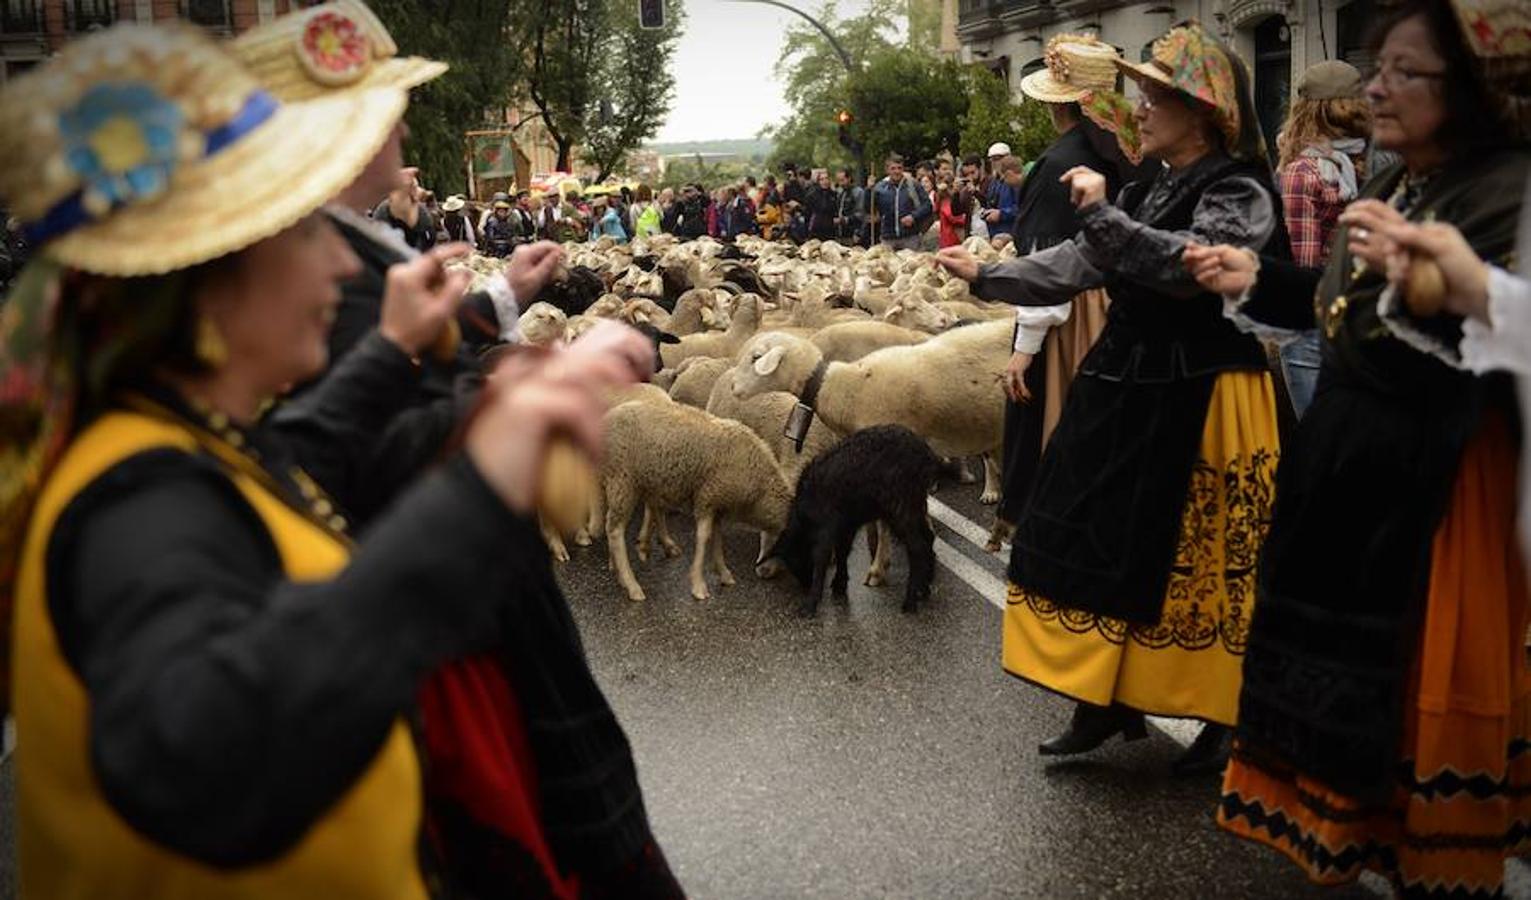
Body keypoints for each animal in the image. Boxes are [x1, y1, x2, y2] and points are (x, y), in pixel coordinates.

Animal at [762, 425, 943, 615]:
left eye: (795, 560)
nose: (805, 584)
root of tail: (930, 458)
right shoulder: (847, 525)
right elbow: (843, 551)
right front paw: (839, 585)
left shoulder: (826, 528)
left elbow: (821, 559)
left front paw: (811, 604)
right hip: (915, 503)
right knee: (928, 537)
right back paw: (924, 587)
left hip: (901, 506)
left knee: (918, 547)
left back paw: (910, 602)